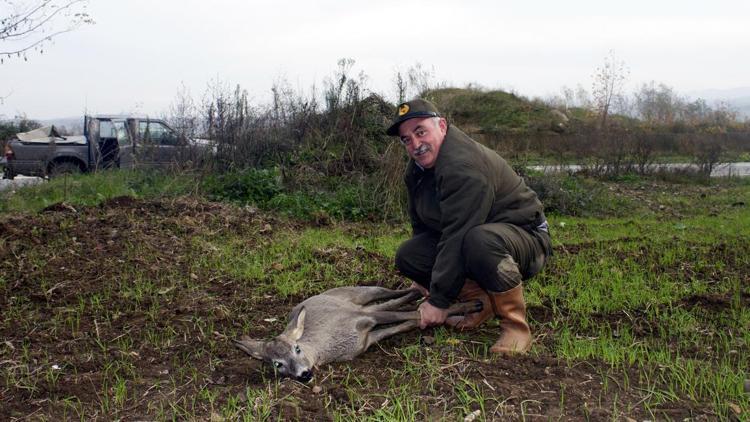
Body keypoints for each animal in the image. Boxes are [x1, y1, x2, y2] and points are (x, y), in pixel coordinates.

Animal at [232, 286, 484, 380]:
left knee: (385, 293)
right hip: (361, 305)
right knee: (392, 303)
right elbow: (405, 323)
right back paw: (419, 293)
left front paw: (466, 307)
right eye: (277, 364)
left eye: (297, 348)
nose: (304, 374)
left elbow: (412, 315)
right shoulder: (367, 337)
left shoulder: (361, 318)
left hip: (358, 294)